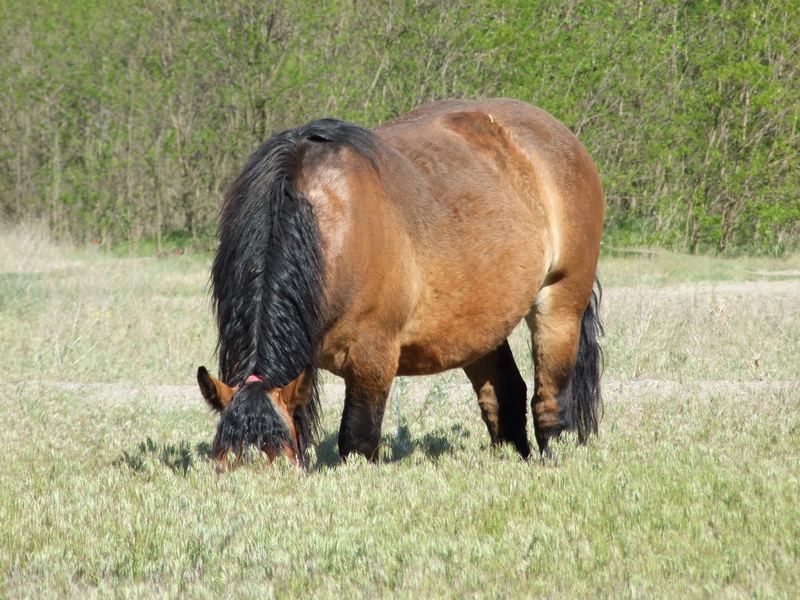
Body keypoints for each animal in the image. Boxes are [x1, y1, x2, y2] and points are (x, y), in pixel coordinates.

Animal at [197, 98, 604, 466]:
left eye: (282, 462)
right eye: (220, 465)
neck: (322, 222)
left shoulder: (373, 357)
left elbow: (357, 440)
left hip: (561, 306)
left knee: (550, 400)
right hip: (480, 325)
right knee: (505, 396)